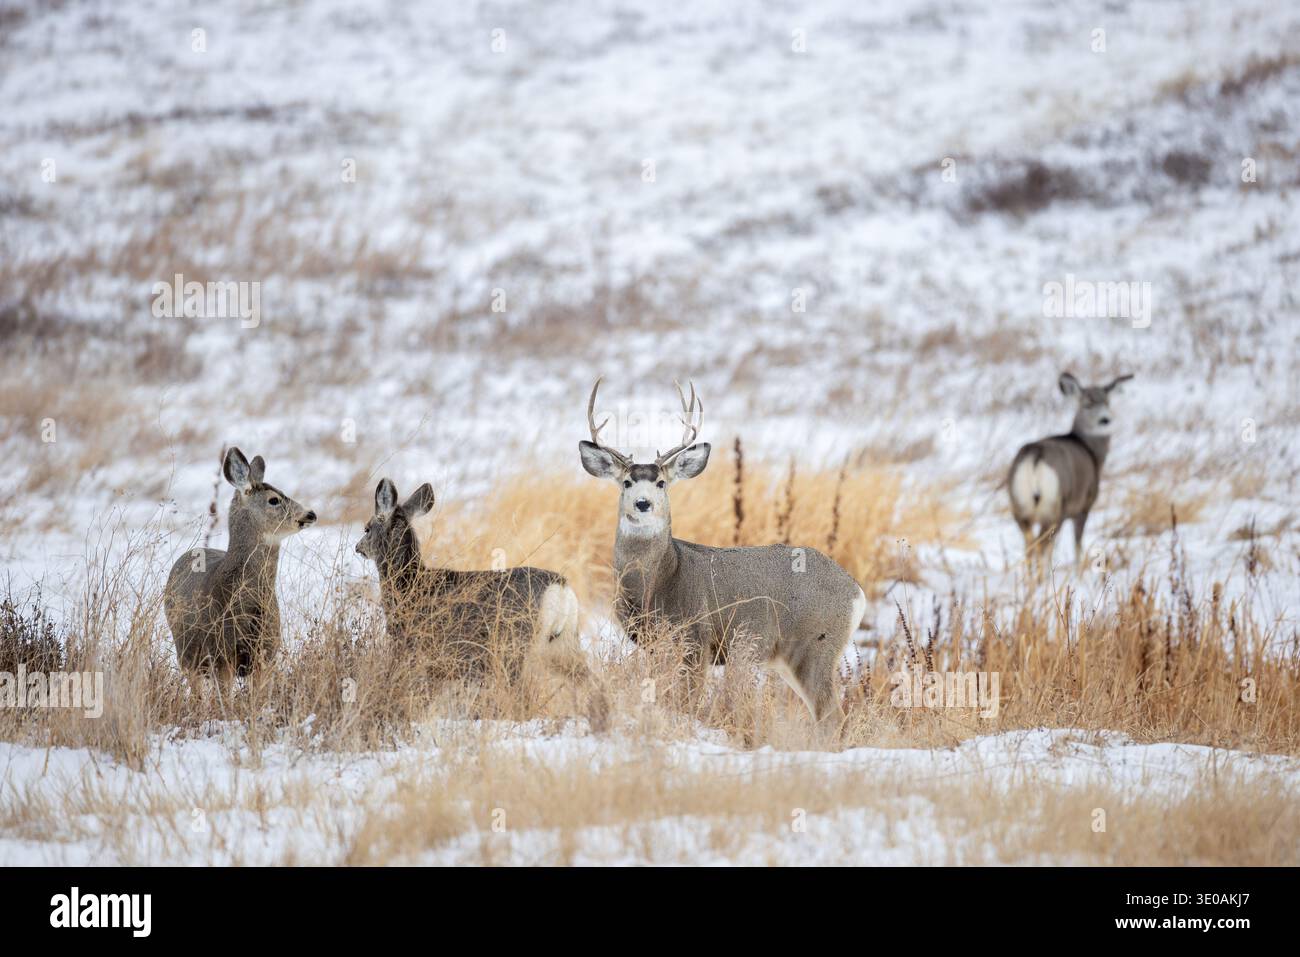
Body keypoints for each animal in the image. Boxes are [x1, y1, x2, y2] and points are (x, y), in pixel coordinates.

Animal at [355, 478, 608, 731]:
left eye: (367, 528)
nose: (358, 547)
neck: (409, 584)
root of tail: (561, 589)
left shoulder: (415, 648)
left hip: (513, 646)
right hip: (564, 643)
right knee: (588, 680)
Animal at [578, 377, 867, 726]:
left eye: (661, 482)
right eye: (626, 482)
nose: (643, 504)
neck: (661, 581)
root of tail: (856, 591)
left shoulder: (695, 639)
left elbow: (686, 703)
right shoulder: (652, 645)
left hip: (814, 645)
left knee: (832, 715)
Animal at [1008, 371, 1133, 571]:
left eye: (1107, 402)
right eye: (1087, 404)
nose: (1105, 420)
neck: (1092, 453)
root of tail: (1035, 456)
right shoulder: (1084, 506)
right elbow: (1077, 546)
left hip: (1019, 507)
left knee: (1030, 546)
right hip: (1055, 508)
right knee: (1041, 546)